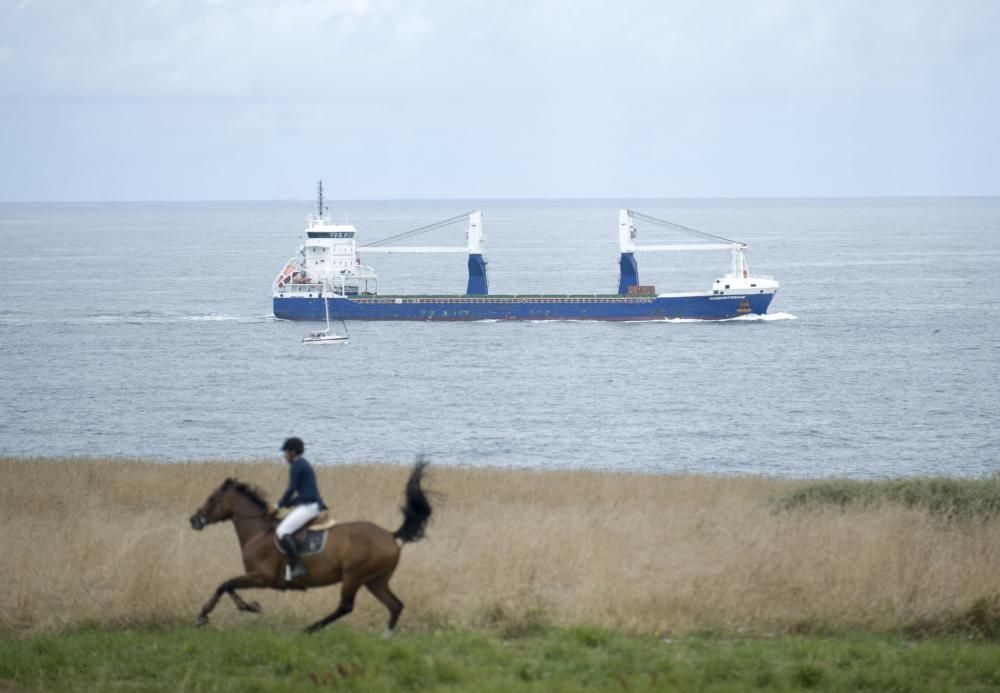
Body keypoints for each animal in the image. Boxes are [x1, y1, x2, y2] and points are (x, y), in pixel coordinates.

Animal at [189, 460, 432, 632]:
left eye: (211, 499)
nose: (194, 520)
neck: (258, 531)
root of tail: (390, 536)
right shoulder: (256, 577)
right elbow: (227, 586)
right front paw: (247, 606)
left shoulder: (262, 577)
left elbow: (225, 584)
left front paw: (206, 614)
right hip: (375, 580)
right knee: (395, 605)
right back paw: (385, 637)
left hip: (354, 576)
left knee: (346, 607)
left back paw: (310, 629)